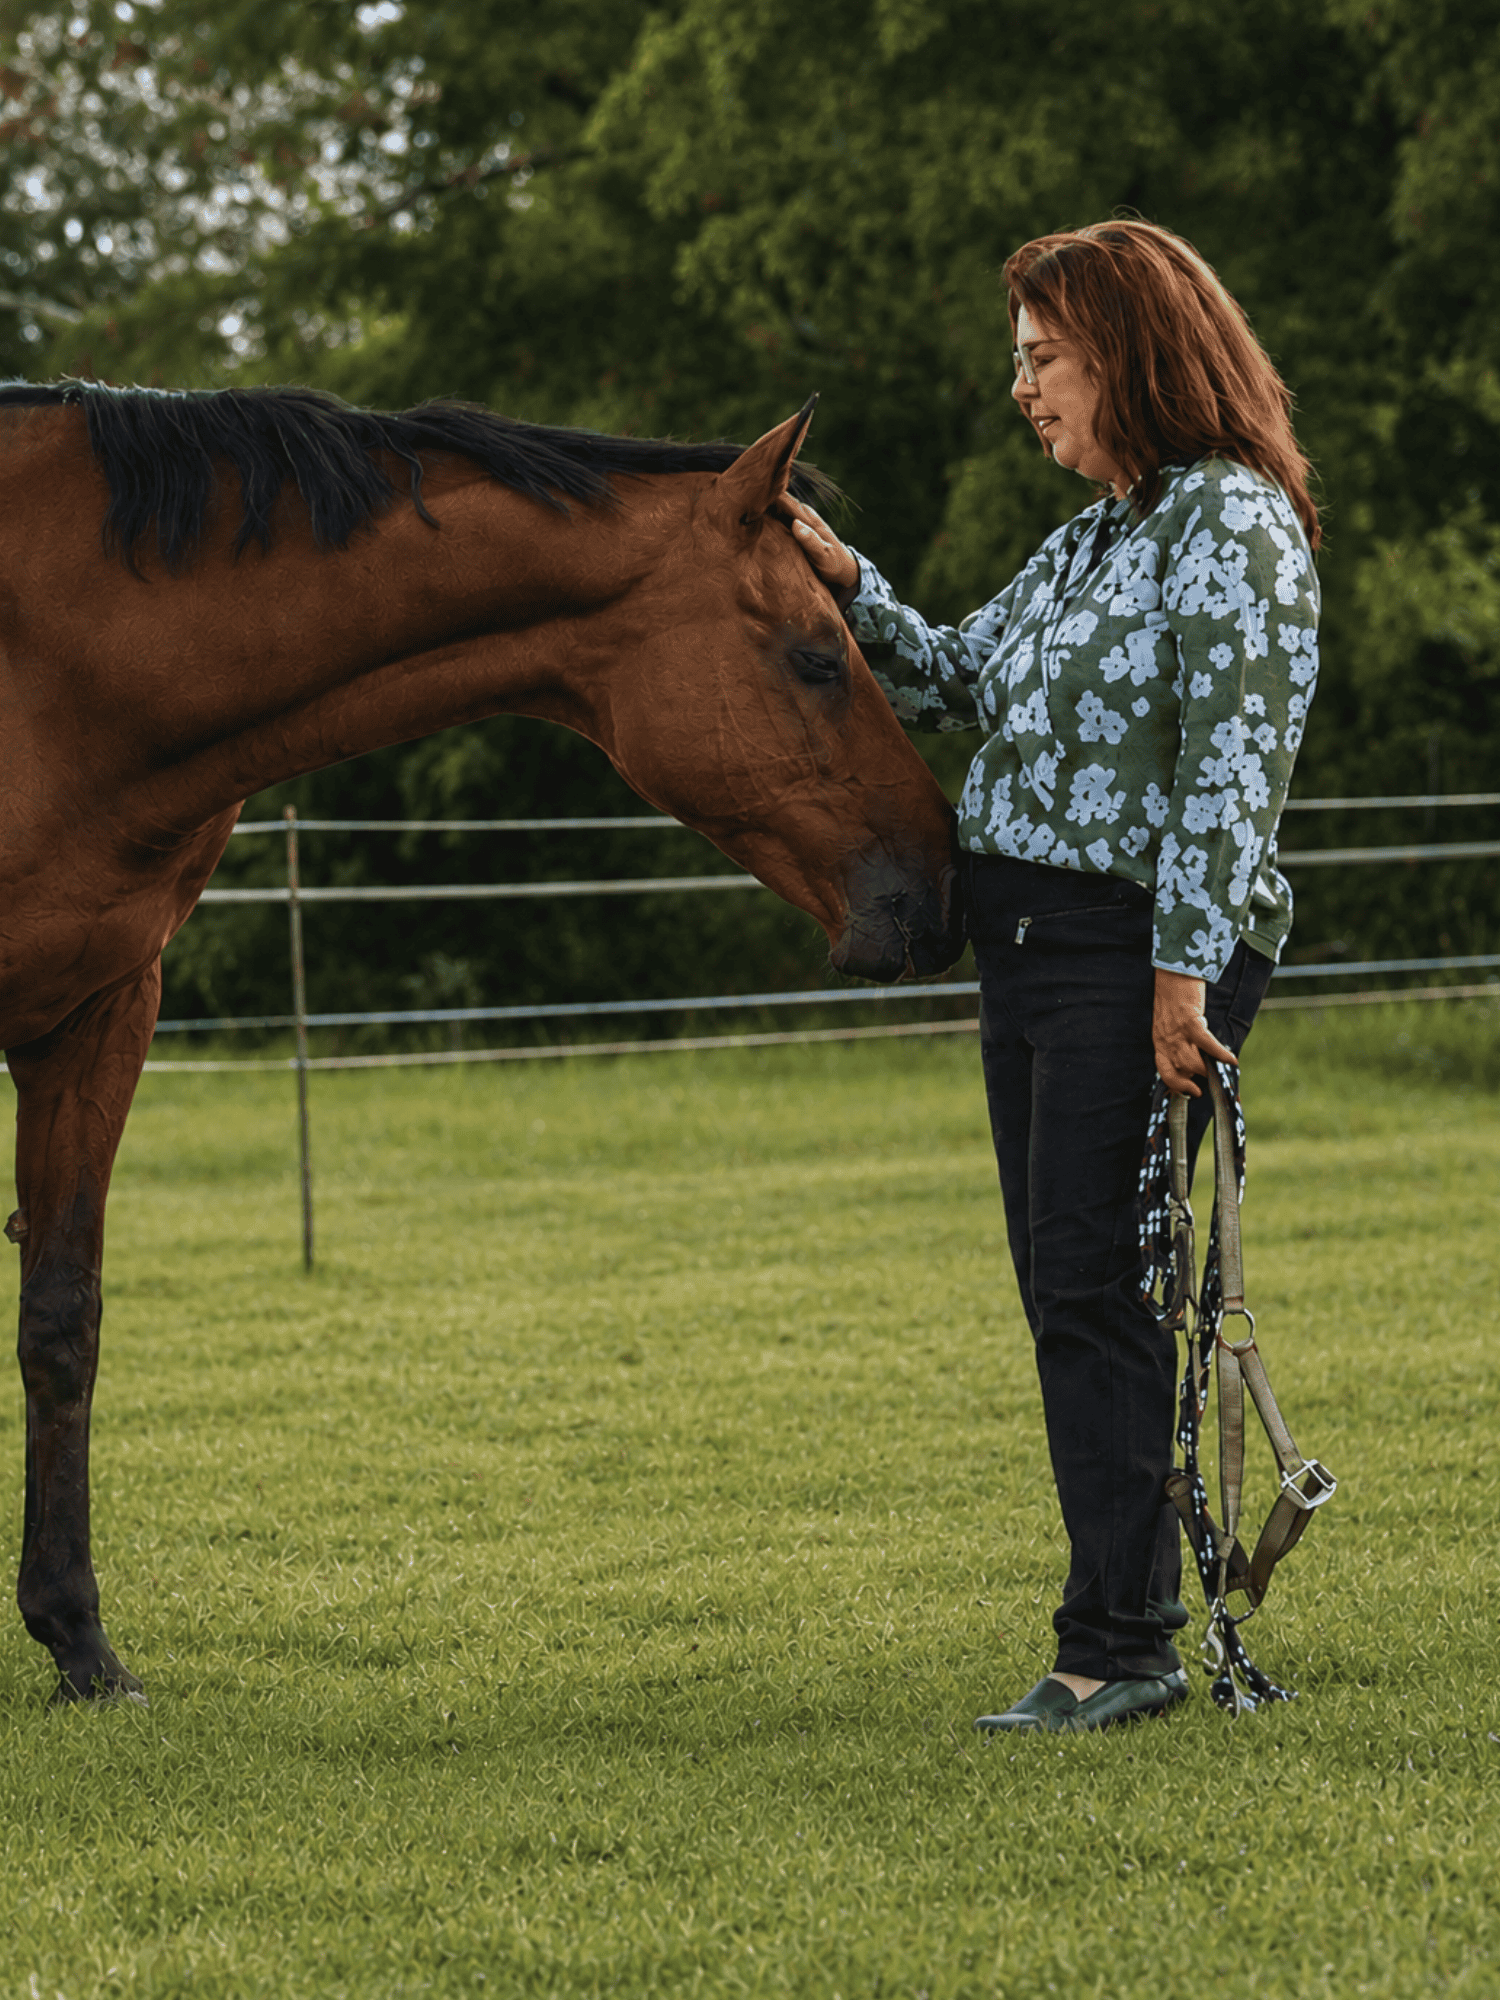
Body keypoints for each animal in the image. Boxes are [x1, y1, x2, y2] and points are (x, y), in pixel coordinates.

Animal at [0, 379, 963, 1703]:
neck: (61, 653)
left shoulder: (98, 1015)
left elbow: (62, 1319)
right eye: (818, 656)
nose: (939, 888)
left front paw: (80, 1640)